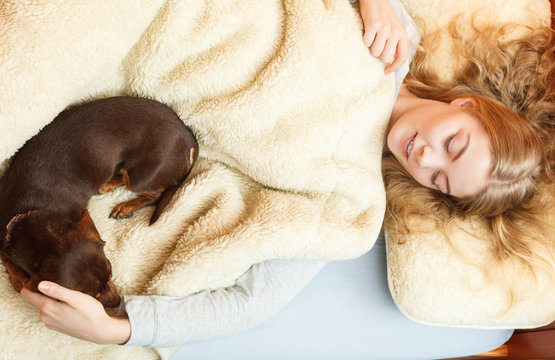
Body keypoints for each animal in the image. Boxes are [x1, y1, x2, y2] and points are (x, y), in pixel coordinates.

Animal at [0, 97, 200, 308]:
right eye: (91, 296)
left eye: (111, 273)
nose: (118, 303)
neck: (32, 214)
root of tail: (188, 136)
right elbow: (5, 256)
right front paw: (17, 276)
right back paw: (108, 185)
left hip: (142, 177)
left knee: (156, 192)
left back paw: (125, 206)